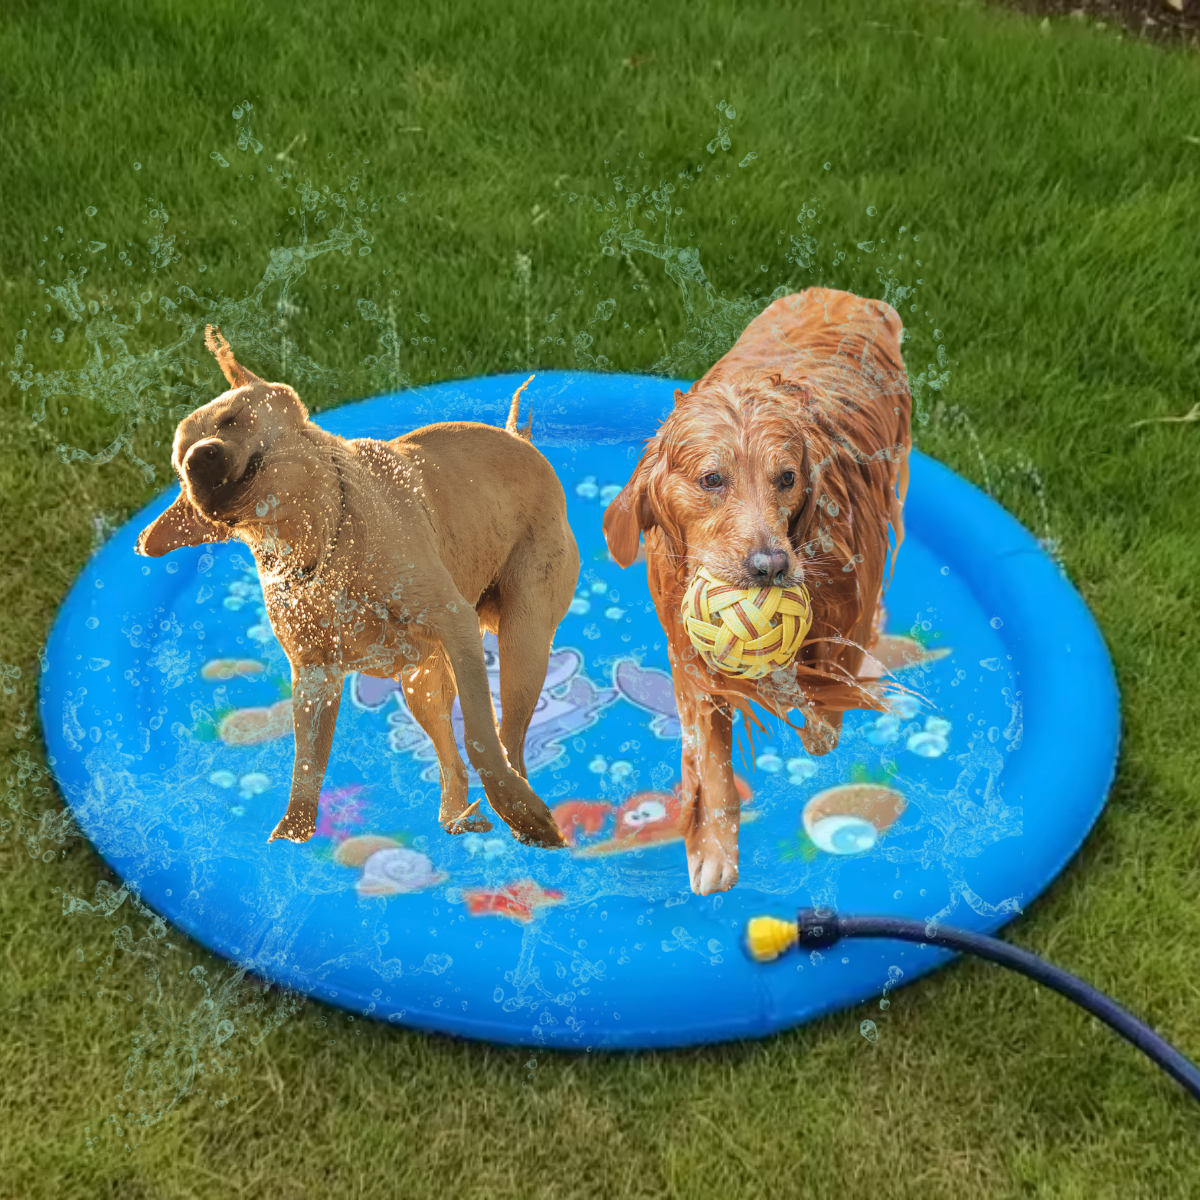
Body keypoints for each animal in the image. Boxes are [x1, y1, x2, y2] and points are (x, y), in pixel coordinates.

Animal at [136, 328, 576, 849]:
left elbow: (479, 736)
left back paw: (518, 805)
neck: (320, 549)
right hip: (422, 683)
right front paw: (291, 838)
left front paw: (519, 810)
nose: (197, 460)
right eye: (178, 466)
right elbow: (306, 764)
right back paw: (457, 816)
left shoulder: (454, 621)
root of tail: (517, 439)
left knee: (507, 739)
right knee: (450, 758)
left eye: (231, 419)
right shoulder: (315, 676)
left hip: (522, 639)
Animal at [600, 288, 907, 892]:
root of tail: (847, 295)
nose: (769, 566)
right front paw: (715, 850)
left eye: (786, 478)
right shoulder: (689, 655)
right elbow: (713, 758)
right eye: (711, 479)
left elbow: (824, 708)